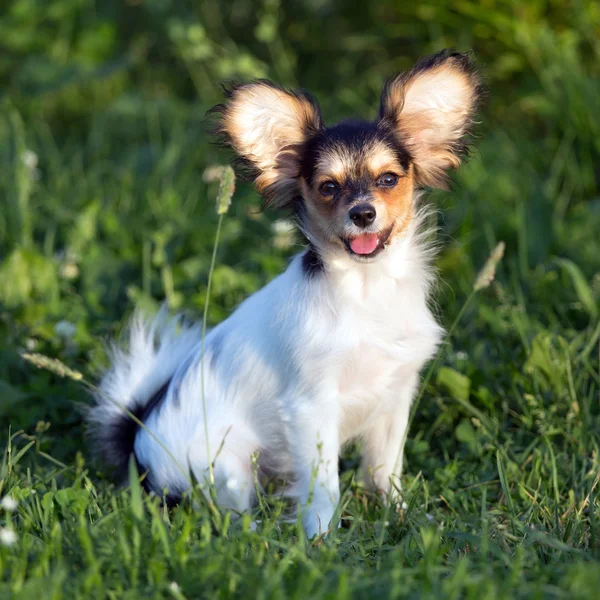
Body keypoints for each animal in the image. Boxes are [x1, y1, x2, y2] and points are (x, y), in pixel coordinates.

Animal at [89, 50, 482, 540]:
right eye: (328, 187)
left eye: (389, 179)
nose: (363, 213)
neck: (366, 291)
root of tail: (137, 437)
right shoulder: (312, 405)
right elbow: (325, 487)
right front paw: (321, 540)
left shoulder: (395, 395)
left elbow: (384, 470)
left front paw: (401, 516)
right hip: (227, 465)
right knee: (228, 517)